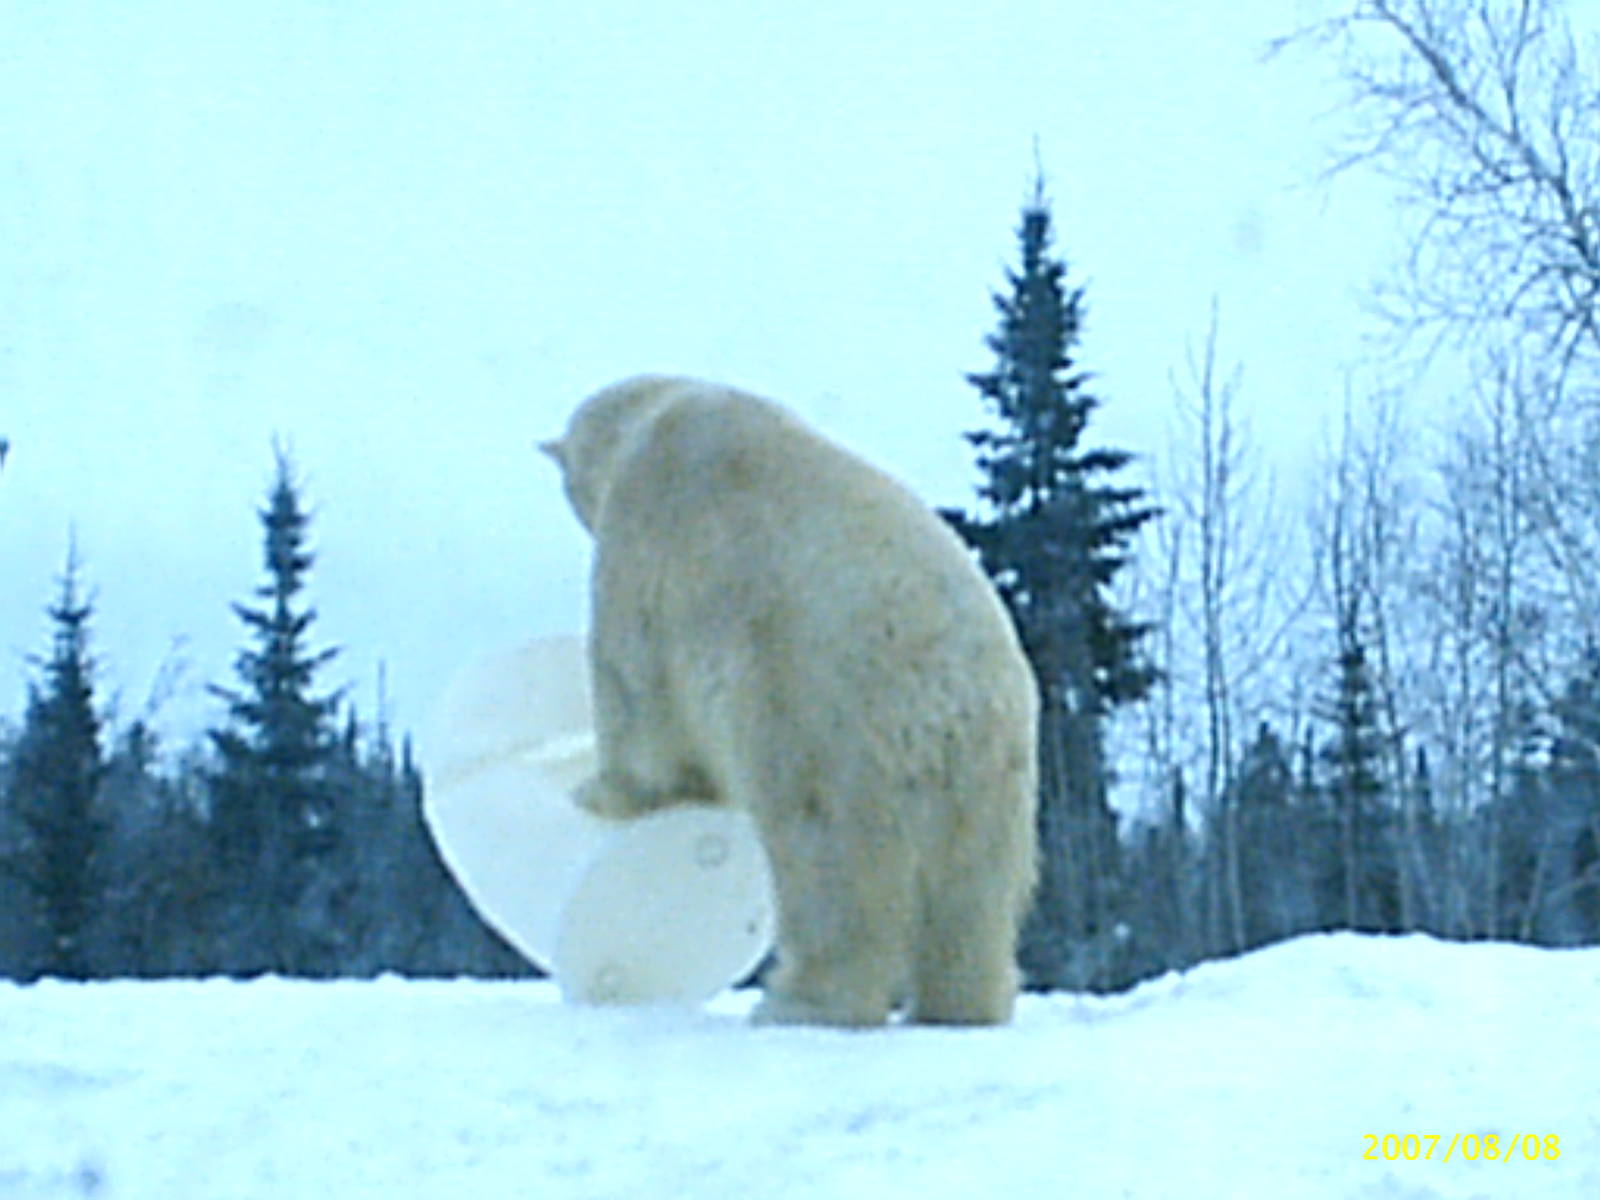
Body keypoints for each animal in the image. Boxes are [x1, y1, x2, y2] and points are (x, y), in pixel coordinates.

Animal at [540, 375, 1038, 1027]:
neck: (660, 416)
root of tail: (947, 701)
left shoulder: (646, 537)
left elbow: (636, 698)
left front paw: (598, 792)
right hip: (995, 779)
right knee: (975, 899)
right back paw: (963, 1006)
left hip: (822, 731)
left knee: (827, 875)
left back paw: (796, 1002)